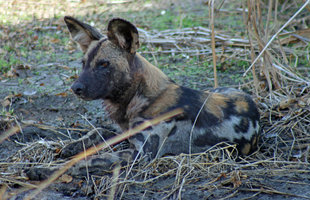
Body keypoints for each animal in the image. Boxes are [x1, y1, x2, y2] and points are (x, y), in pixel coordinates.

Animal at [26, 16, 260, 180]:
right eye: (83, 64)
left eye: (103, 64)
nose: (75, 88)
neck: (137, 98)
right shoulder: (125, 131)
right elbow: (98, 130)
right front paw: (72, 146)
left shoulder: (138, 155)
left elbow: (83, 162)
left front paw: (45, 170)